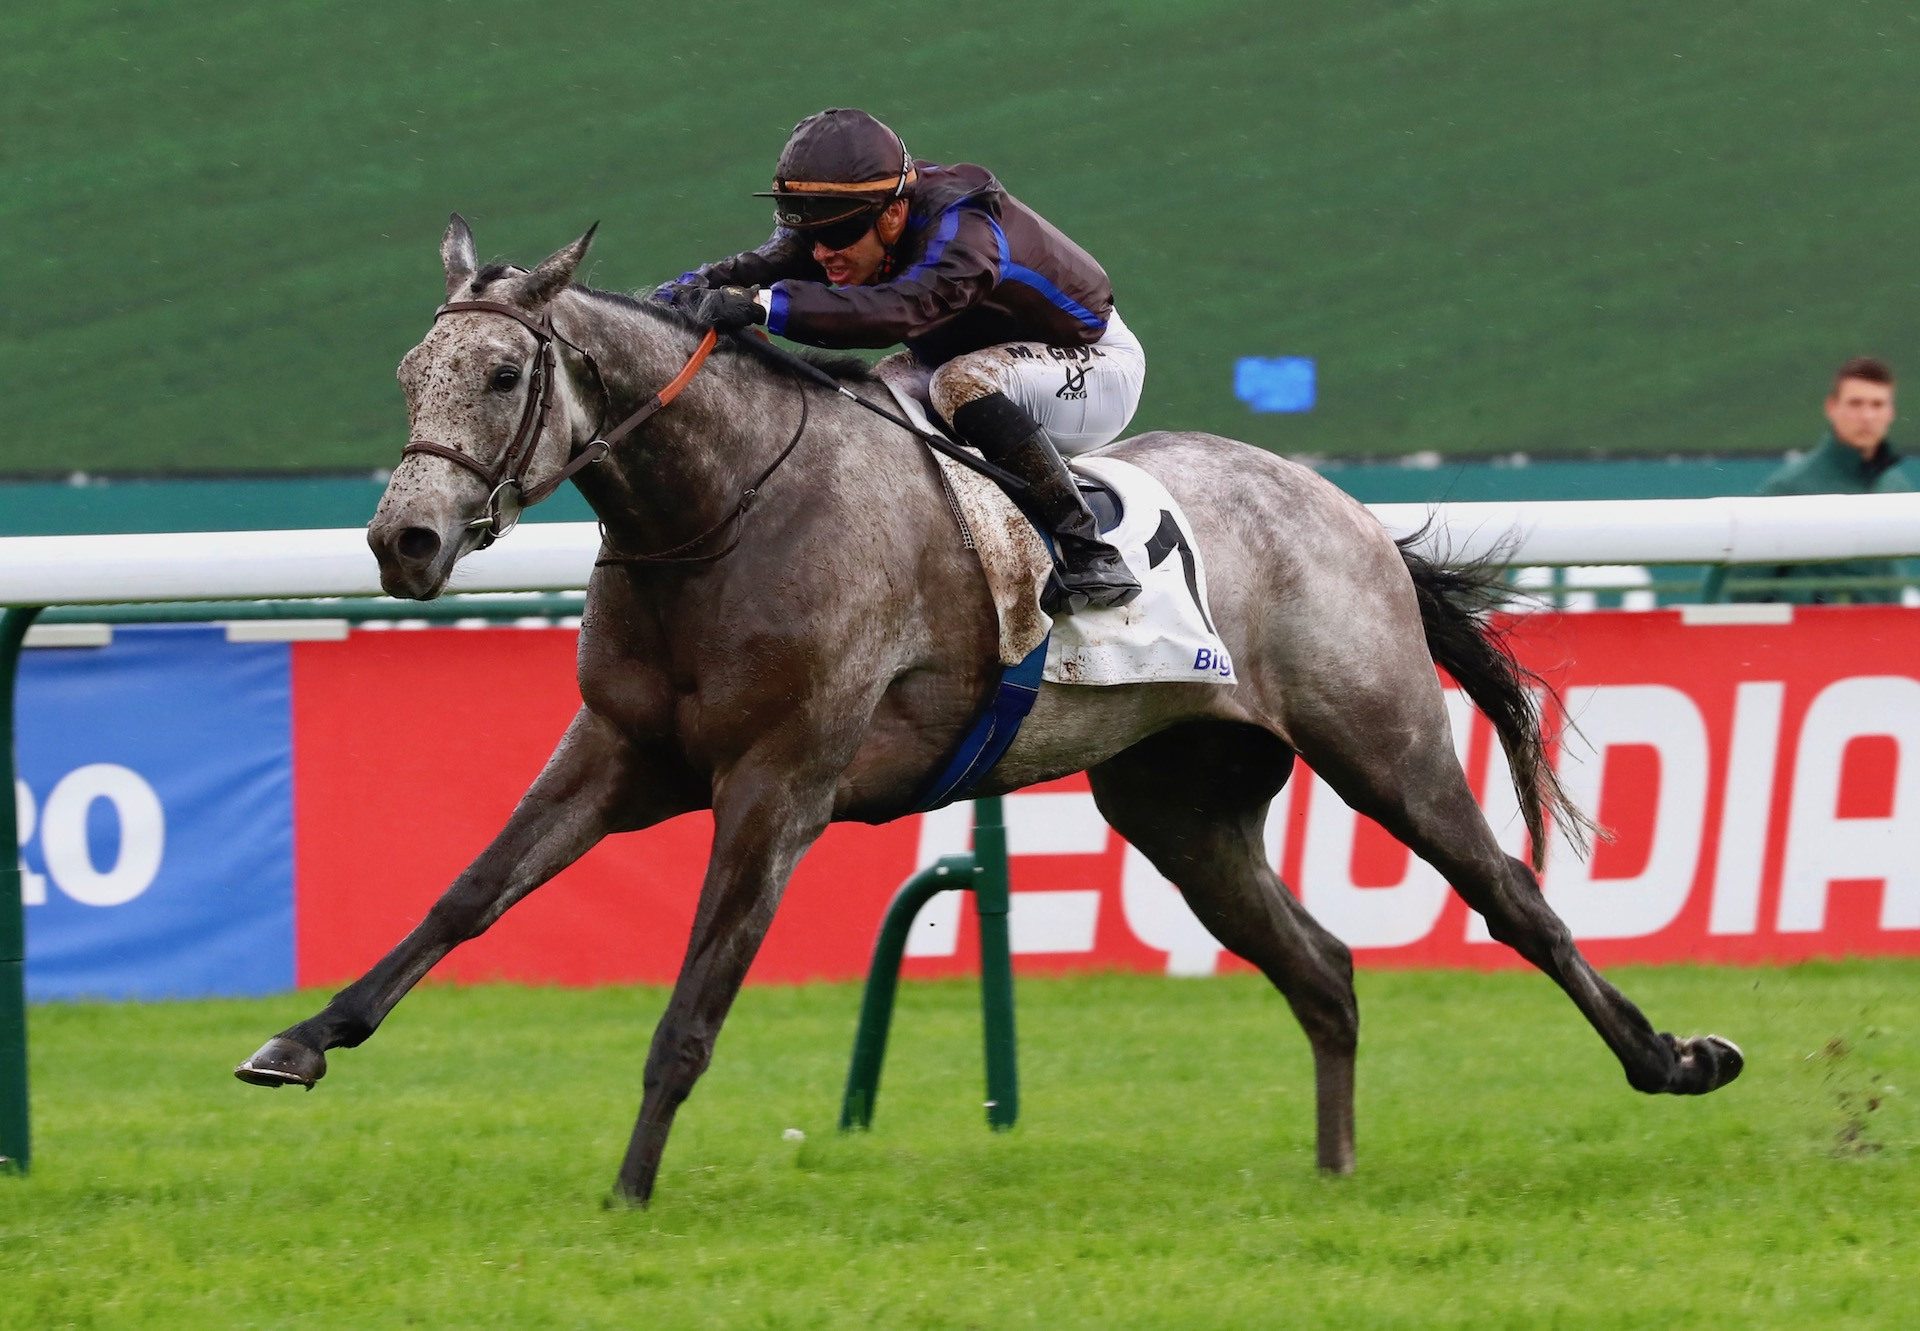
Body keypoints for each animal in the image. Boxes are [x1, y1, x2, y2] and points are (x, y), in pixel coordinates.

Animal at [236, 220, 1743, 1206]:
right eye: (409, 375)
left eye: (502, 375)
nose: (406, 541)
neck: (722, 509)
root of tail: (1343, 508)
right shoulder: (618, 752)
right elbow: (465, 896)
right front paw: (300, 1039)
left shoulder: (779, 782)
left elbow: (694, 1000)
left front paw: (630, 1188)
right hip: (1180, 804)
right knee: (1324, 967)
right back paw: (1334, 1169)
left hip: (1381, 739)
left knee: (1515, 901)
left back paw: (1675, 1057)